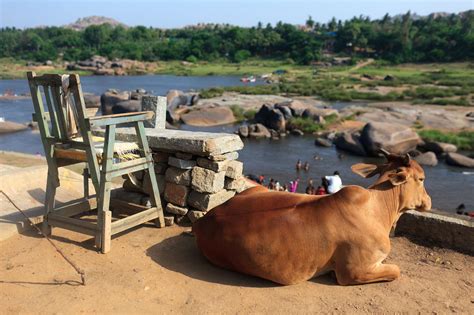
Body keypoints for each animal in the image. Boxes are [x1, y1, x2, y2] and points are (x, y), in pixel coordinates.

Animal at [192, 151, 430, 286]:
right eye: (421, 179)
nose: (428, 201)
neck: (379, 208)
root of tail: (203, 221)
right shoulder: (353, 272)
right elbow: (396, 270)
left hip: (257, 189)